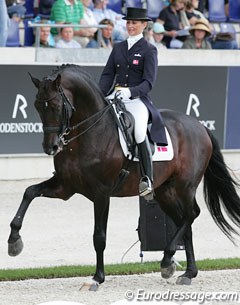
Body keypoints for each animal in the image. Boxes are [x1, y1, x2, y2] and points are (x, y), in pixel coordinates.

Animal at [7, 63, 240, 288]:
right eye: (37, 106)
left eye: (56, 106)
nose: (51, 147)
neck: (89, 133)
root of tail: (199, 126)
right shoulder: (65, 187)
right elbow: (29, 192)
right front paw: (14, 241)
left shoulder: (101, 194)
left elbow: (99, 236)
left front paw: (97, 278)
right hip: (165, 192)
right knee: (185, 222)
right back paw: (188, 272)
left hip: (184, 186)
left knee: (191, 214)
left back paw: (167, 260)